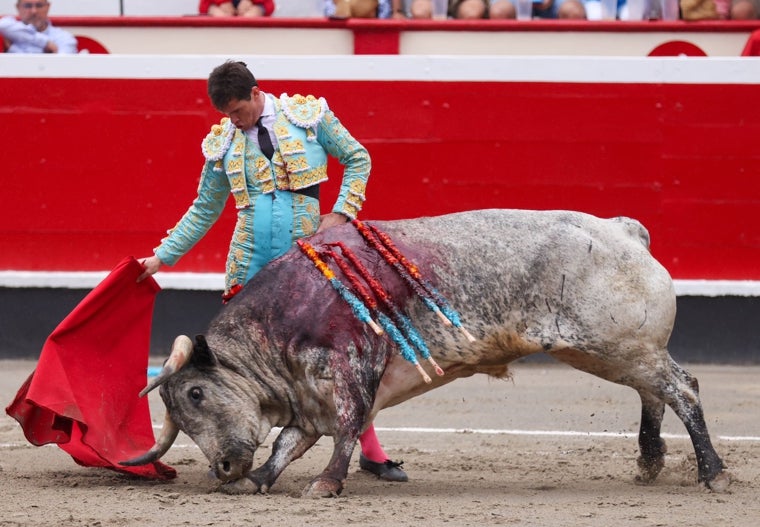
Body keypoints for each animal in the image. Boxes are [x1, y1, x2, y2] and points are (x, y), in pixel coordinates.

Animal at [124, 210, 732, 500]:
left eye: (196, 392)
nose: (223, 467)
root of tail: (622, 231)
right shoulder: (307, 399)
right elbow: (286, 444)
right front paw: (258, 482)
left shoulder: (352, 371)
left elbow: (347, 429)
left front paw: (326, 484)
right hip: (617, 351)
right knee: (653, 391)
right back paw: (650, 462)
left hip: (616, 345)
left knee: (683, 389)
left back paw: (713, 474)